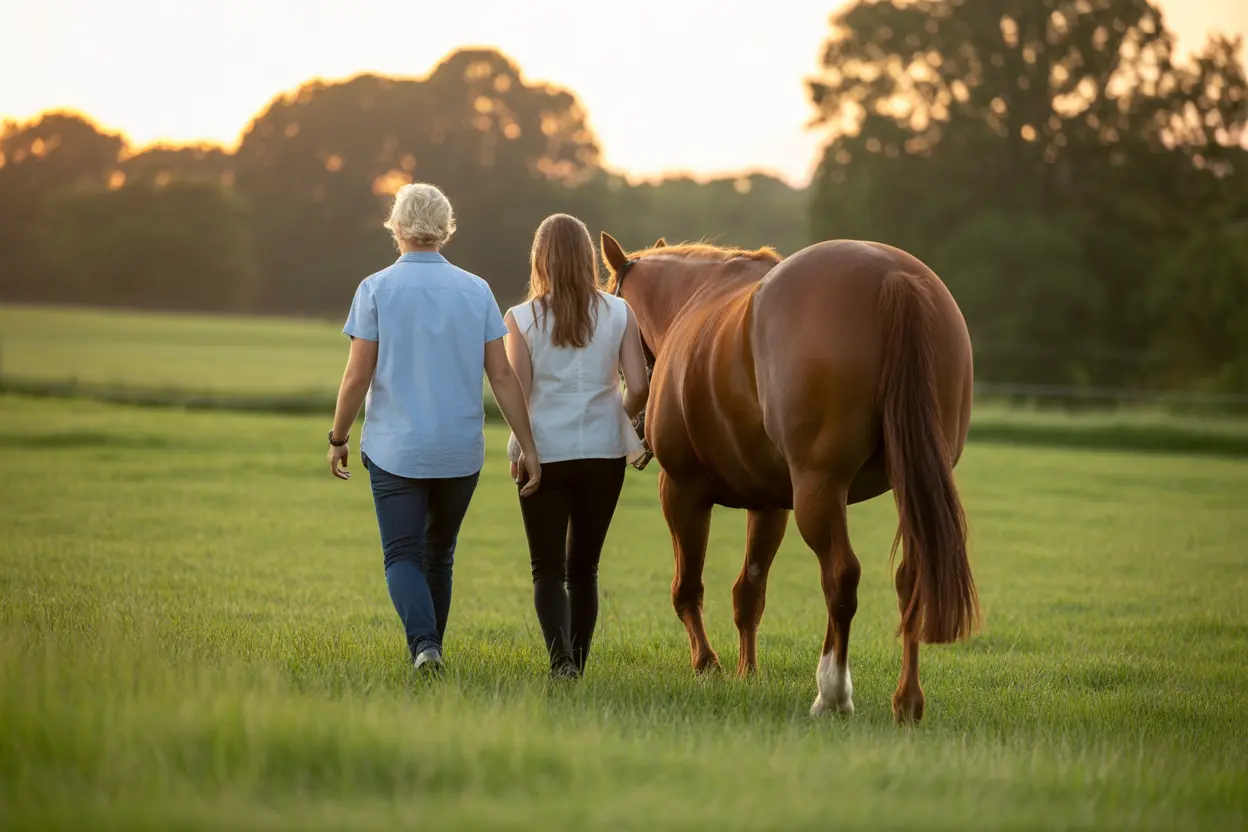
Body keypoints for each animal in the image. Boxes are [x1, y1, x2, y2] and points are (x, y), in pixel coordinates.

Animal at [602, 231, 979, 723]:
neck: (691, 300)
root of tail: (892, 278)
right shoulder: (769, 505)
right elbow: (749, 593)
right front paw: (747, 672)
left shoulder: (682, 491)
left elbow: (686, 588)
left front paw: (707, 665)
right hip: (905, 484)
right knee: (911, 579)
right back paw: (907, 700)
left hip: (819, 488)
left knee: (841, 576)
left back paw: (833, 692)